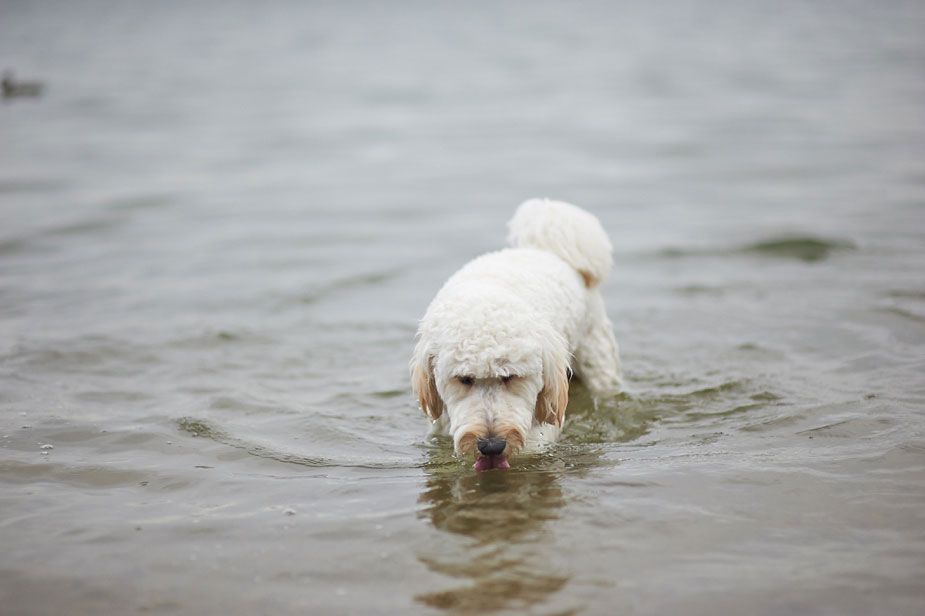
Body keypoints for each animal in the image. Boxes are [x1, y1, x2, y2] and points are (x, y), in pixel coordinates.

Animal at [410, 200, 620, 470]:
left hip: (597, 357)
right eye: (464, 379)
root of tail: (545, 251)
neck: (488, 294)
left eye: (511, 377)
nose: (491, 446)